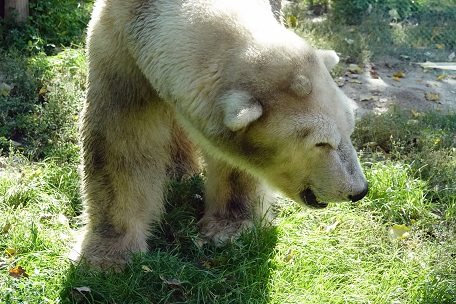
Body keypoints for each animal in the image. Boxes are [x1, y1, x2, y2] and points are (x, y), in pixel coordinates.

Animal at [76, 0, 368, 268]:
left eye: (350, 127)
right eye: (321, 143)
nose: (358, 191)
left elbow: (233, 162)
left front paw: (229, 228)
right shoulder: (119, 45)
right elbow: (122, 143)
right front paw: (108, 256)